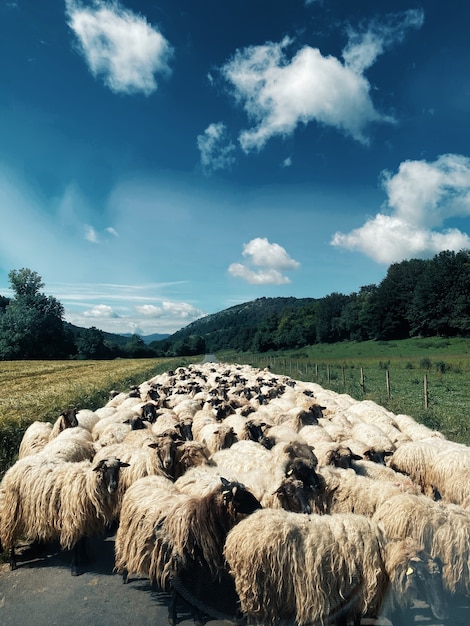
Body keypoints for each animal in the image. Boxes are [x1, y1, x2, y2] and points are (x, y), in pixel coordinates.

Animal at [0, 450, 129, 572]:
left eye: (118, 468)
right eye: (104, 469)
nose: (113, 487)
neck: (88, 482)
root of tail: (15, 465)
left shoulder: (86, 519)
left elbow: (83, 540)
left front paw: (85, 557)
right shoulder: (74, 519)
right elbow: (76, 544)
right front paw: (75, 567)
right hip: (10, 511)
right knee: (10, 535)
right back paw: (12, 562)